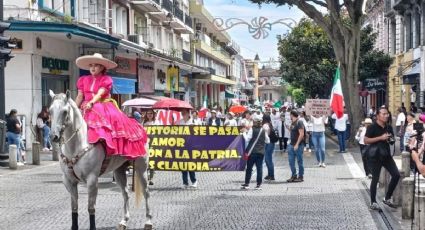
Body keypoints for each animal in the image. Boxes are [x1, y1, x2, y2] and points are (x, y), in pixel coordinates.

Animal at [48, 90, 152, 230]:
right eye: (50, 111)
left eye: (65, 111)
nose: (53, 136)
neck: (77, 145)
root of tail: (139, 125)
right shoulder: (69, 181)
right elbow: (74, 208)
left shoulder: (92, 180)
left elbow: (91, 208)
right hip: (119, 171)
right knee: (125, 193)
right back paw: (124, 221)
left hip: (142, 168)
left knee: (146, 192)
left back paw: (148, 221)